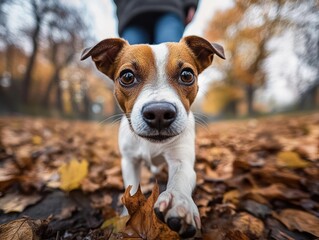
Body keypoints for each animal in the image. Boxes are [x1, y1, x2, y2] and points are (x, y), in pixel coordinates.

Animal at [81, 36, 226, 238]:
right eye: (127, 76)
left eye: (187, 75)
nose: (159, 112)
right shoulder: (129, 161)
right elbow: (132, 186)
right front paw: (127, 216)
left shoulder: (181, 159)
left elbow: (180, 177)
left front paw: (178, 201)